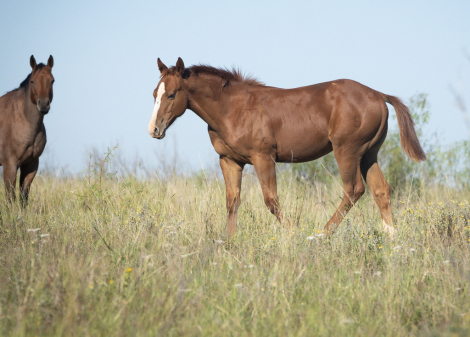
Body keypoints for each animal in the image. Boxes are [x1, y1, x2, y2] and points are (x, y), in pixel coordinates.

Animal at [0, 55, 54, 203]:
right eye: (32, 81)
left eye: (52, 81)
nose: (43, 105)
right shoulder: (10, 165)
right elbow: (10, 197)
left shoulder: (31, 165)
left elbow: (24, 196)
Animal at [148, 57, 426, 236]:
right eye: (154, 94)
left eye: (171, 94)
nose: (154, 130)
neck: (232, 108)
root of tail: (379, 95)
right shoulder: (229, 160)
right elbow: (232, 201)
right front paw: (226, 241)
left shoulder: (263, 157)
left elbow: (271, 201)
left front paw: (293, 233)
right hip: (369, 153)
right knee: (381, 191)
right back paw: (391, 238)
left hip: (346, 151)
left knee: (353, 190)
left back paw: (321, 234)